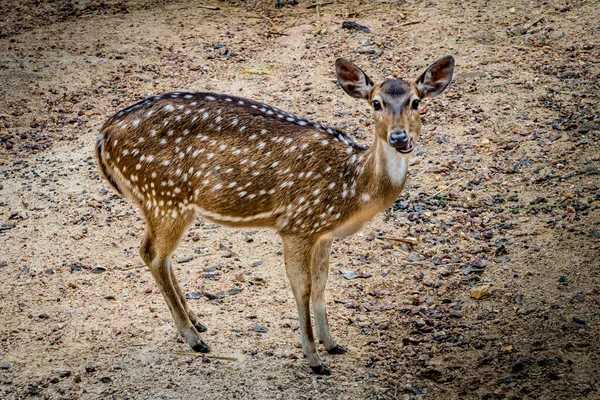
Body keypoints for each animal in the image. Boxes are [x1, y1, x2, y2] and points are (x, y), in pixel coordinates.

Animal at [96, 55, 454, 376]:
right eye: (376, 103)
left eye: (416, 102)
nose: (399, 138)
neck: (351, 188)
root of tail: (103, 136)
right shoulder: (297, 224)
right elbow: (303, 288)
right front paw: (314, 359)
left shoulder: (324, 234)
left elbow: (322, 284)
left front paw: (332, 343)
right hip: (165, 197)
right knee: (153, 254)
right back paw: (194, 338)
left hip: (160, 203)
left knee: (158, 253)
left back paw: (196, 321)